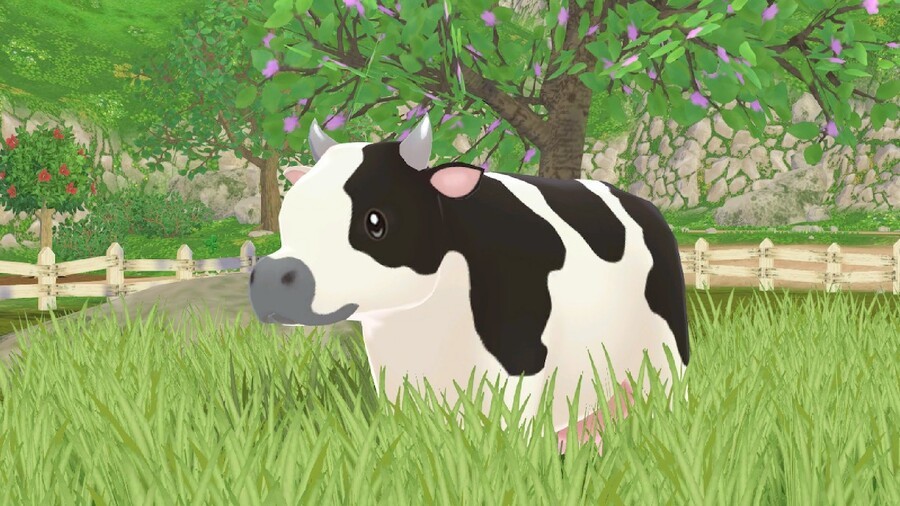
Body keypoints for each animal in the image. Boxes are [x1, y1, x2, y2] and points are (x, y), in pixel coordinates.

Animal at [248, 113, 690, 453]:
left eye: (375, 222)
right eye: (289, 213)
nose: (269, 278)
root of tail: (644, 206)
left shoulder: (520, 361)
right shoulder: (397, 374)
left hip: (665, 349)